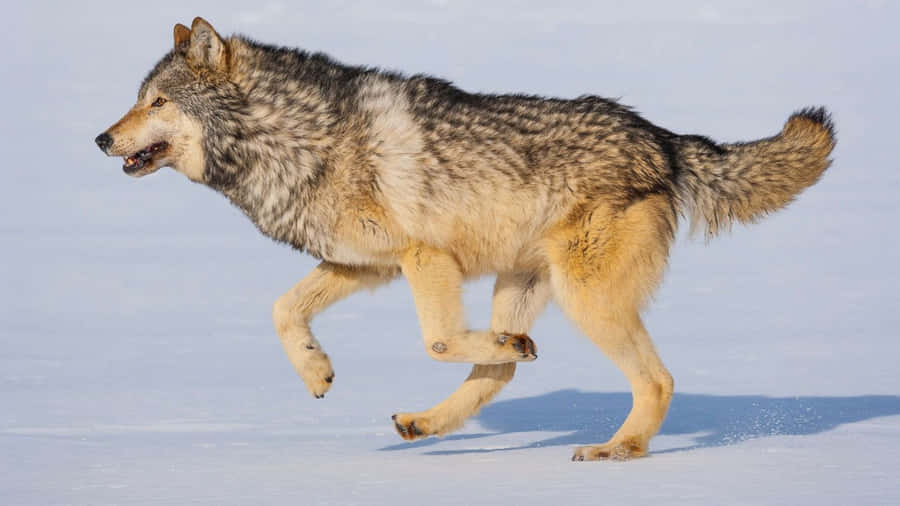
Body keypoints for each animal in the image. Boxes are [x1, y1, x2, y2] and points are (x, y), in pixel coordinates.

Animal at [95, 17, 835, 461]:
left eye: (158, 102)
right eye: (138, 98)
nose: (101, 138)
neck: (291, 137)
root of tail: (661, 137)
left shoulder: (424, 256)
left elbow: (438, 340)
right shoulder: (363, 265)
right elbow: (282, 310)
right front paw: (316, 370)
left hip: (586, 298)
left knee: (655, 380)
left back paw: (614, 450)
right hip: (525, 283)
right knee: (502, 369)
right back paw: (431, 418)